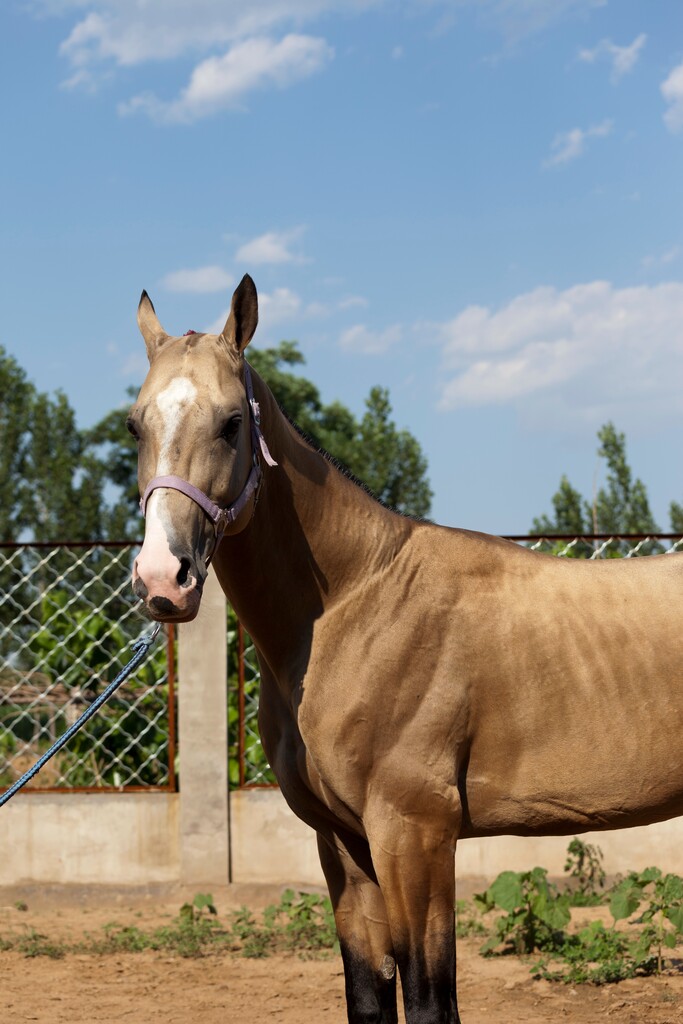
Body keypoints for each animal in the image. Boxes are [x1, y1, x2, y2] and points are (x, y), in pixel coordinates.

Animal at [127, 274, 683, 1024]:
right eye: (135, 425)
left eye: (231, 423)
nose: (165, 579)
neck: (355, 603)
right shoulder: (344, 843)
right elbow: (369, 994)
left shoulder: (413, 836)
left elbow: (427, 999)